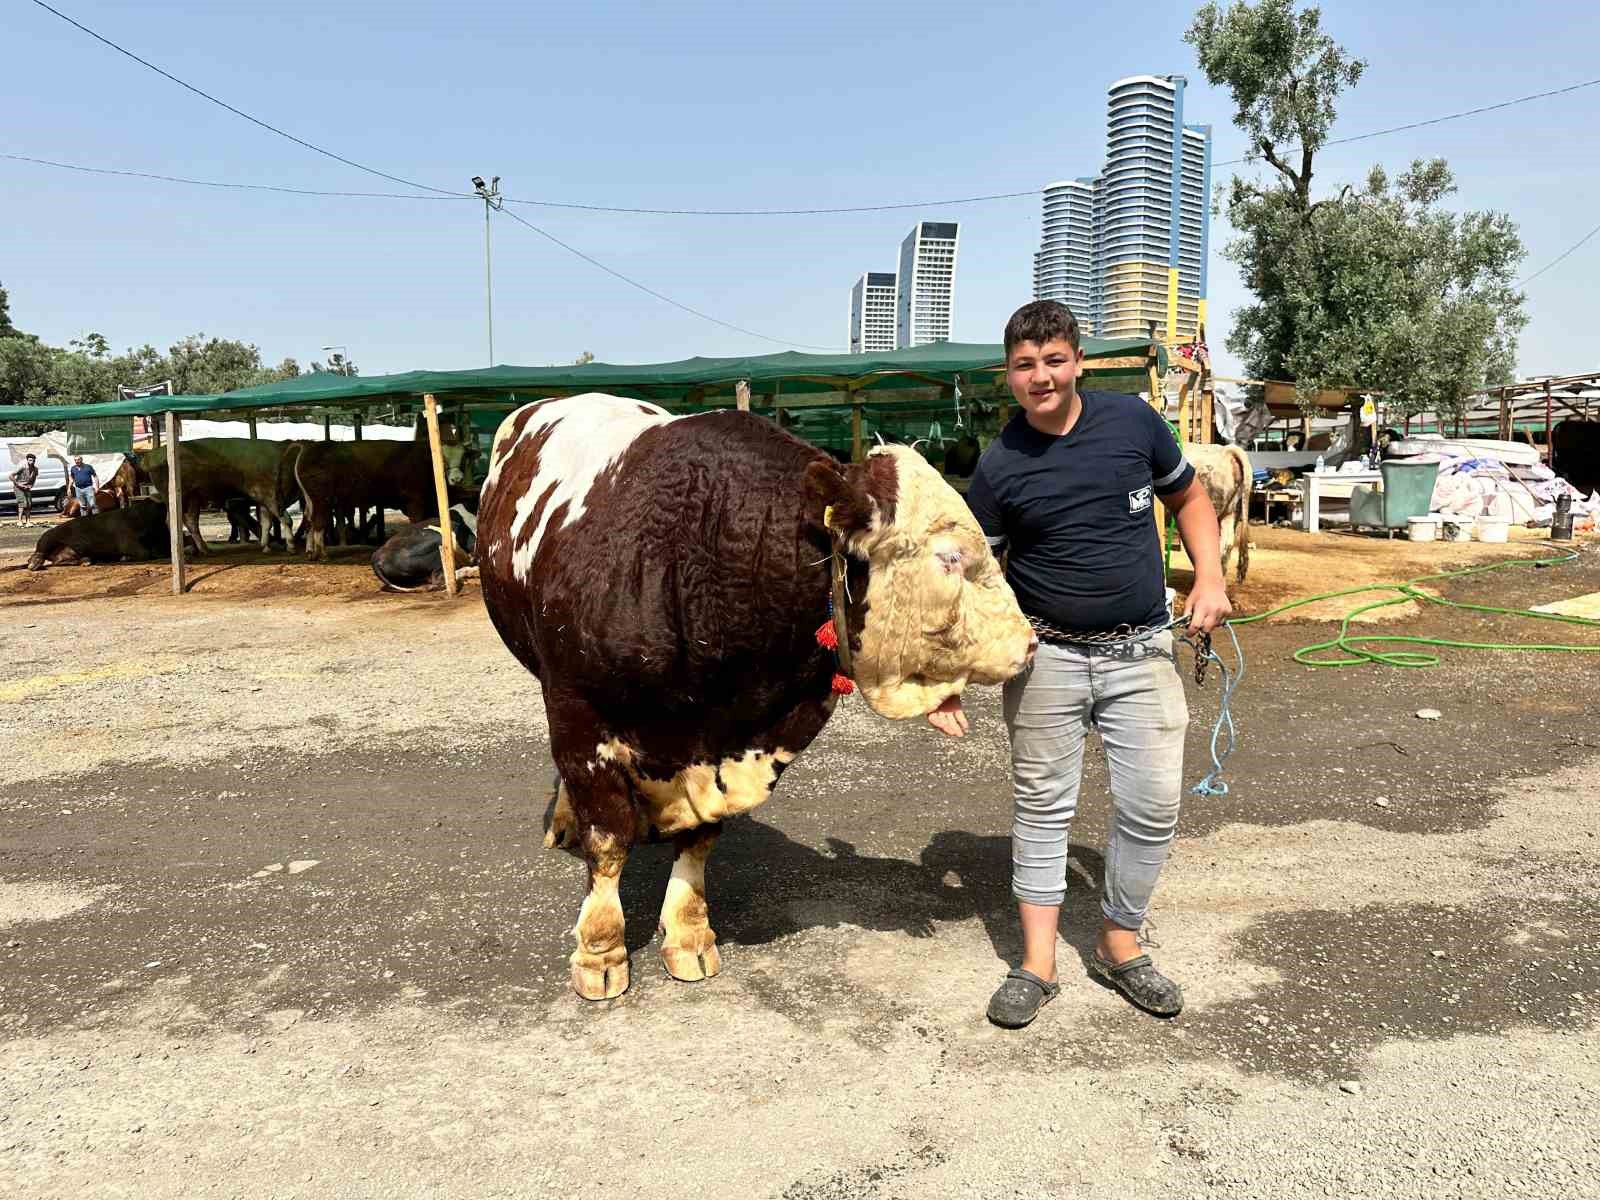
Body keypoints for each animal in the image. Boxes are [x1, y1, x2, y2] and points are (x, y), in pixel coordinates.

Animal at [25, 499, 180, 572]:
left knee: (60, 560)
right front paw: (125, 558)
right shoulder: (128, 542)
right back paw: (33, 565)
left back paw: (86, 561)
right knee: (36, 555)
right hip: (48, 537)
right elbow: (144, 553)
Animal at [470, 395, 1036, 1004]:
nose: (1029, 642)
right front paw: (600, 949)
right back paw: (565, 820)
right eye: (950, 557)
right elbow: (608, 840)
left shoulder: (719, 744)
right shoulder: (580, 714)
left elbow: (699, 841)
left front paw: (689, 933)